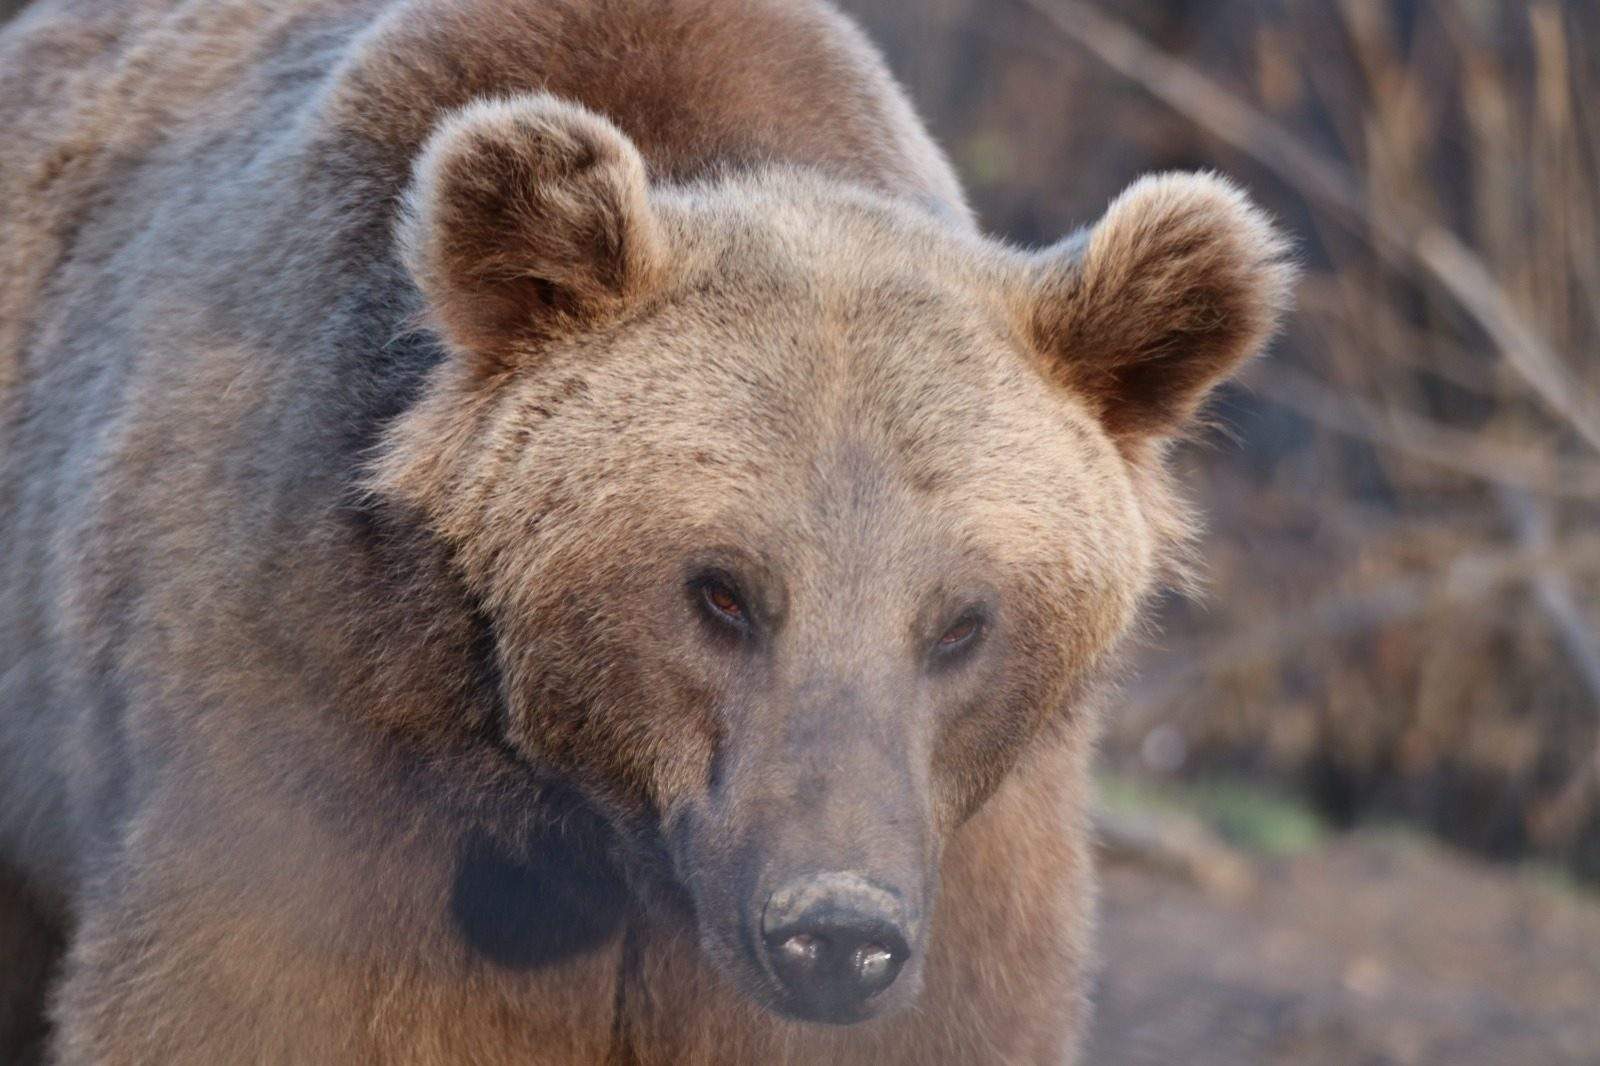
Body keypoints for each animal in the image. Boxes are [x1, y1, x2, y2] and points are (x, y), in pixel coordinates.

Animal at [0, 0, 1292, 1056]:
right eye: (720, 587)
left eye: (964, 618)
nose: (834, 928)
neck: (606, 842)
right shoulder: (330, 724)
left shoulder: (971, 874)